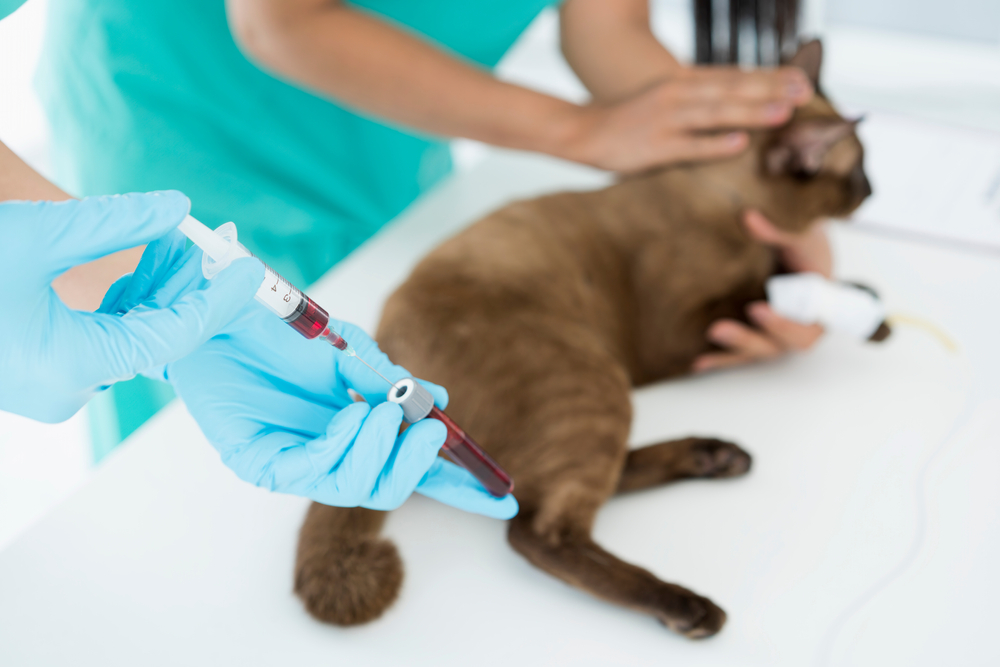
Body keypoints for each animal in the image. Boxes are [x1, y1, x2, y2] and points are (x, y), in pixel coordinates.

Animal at [292, 39, 880, 640]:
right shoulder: (688, 328)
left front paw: (862, 299)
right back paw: (689, 604)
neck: (717, 192)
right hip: (594, 380)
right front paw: (871, 316)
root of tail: (382, 369)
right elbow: (773, 290)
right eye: (858, 167)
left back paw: (716, 456)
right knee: (538, 528)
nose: (872, 190)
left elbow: (795, 275)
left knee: (541, 489)